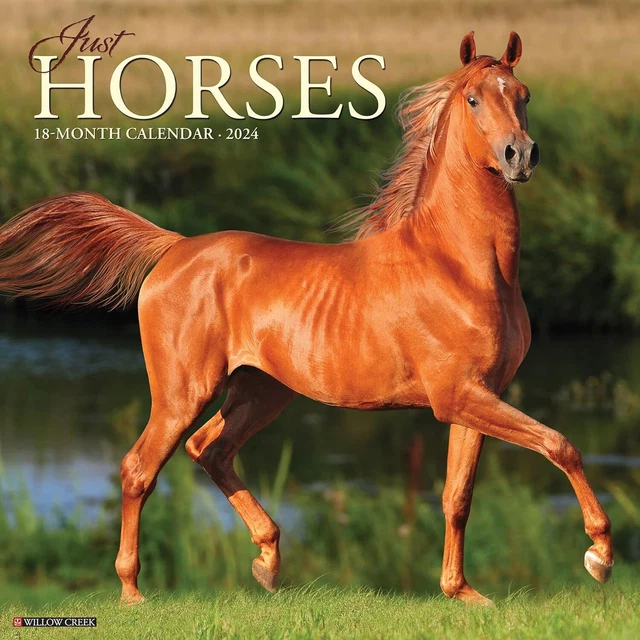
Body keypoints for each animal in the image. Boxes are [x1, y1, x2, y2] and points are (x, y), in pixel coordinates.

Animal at [0, 31, 613, 605]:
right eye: (473, 98)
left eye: (524, 95)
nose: (520, 155)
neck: (461, 264)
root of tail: (175, 248)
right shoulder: (457, 396)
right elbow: (561, 444)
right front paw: (599, 556)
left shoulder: (477, 396)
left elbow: (457, 497)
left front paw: (462, 592)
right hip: (184, 391)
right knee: (139, 468)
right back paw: (132, 591)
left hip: (261, 391)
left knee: (210, 450)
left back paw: (268, 562)